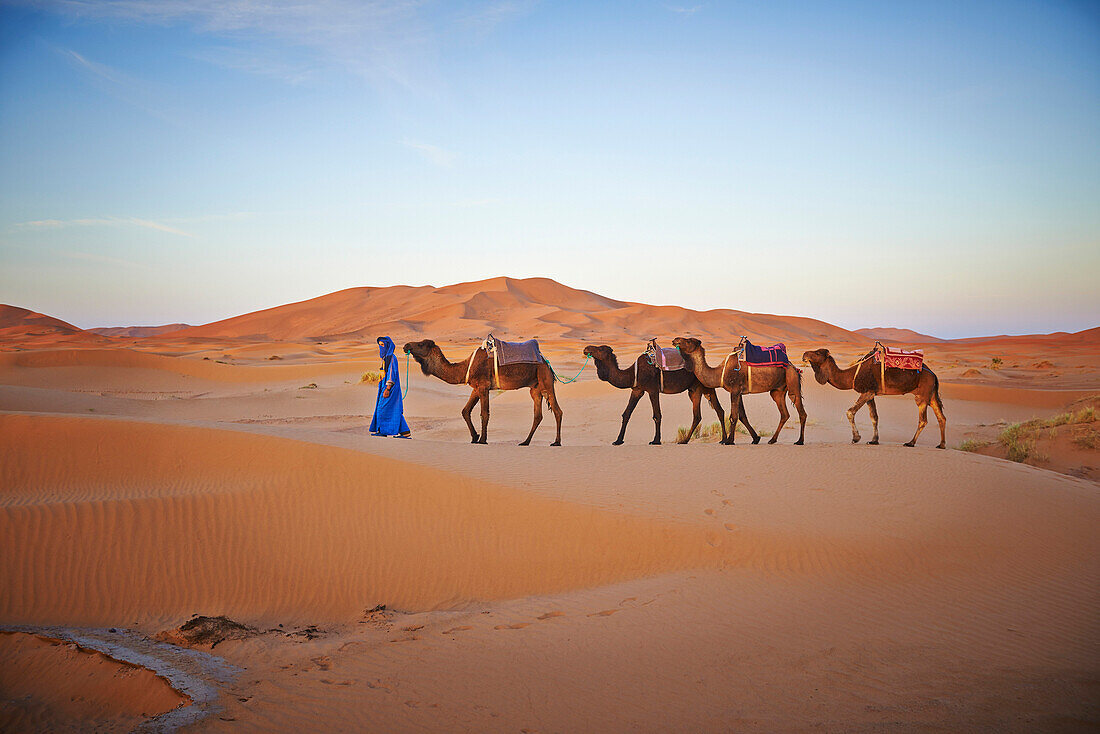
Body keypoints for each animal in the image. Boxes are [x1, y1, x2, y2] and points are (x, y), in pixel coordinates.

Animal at [402, 341, 563, 444]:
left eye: (420, 344)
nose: (406, 345)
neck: (465, 367)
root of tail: (546, 362)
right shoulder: (476, 388)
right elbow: (465, 411)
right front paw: (474, 437)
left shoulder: (484, 386)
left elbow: (484, 413)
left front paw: (482, 440)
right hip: (535, 388)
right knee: (538, 415)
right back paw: (525, 442)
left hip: (546, 381)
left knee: (557, 411)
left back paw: (556, 442)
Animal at [580, 345, 761, 448]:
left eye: (600, 348)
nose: (586, 348)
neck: (633, 373)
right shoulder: (637, 389)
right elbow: (626, 414)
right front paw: (618, 440)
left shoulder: (652, 389)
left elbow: (657, 415)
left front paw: (656, 440)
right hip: (700, 388)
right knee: (717, 411)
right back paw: (726, 439)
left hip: (700, 387)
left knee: (703, 414)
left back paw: (689, 440)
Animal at [668, 336, 809, 444]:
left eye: (689, 340)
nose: (675, 339)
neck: (720, 373)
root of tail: (794, 367)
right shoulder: (738, 392)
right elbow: (742, 416)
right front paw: (755, 438)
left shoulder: (735, 390)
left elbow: (734, 416)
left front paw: (729, 441)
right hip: (777, 391)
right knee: (784, 413)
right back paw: (772, 440)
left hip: (792, 382)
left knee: (801, 411)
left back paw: (800, 441)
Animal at [800, 349, 946, 448]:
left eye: (817, 353)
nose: (804, 354)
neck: (852, 375)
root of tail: (933, 375)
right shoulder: (871, 394)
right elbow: (874, 417)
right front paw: (874, 440)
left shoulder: (867, 392)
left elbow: (850, 412)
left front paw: (856, 438)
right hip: (931, 395)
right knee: (941, 417)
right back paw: (941, 444)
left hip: (922, 394)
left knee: (923, 420)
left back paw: (910, 443)